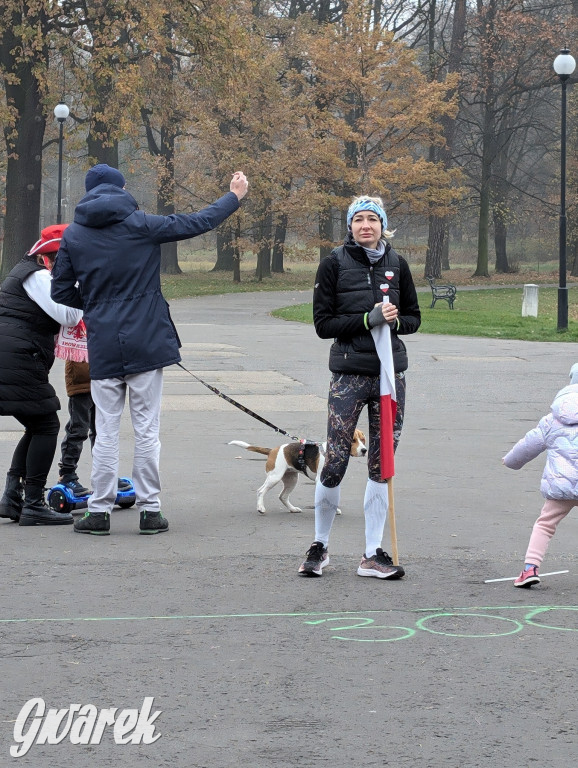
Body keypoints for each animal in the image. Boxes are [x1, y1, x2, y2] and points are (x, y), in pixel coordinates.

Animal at [226, 428, 364, 512]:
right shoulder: (321, 481)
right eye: (353, 440)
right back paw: (260, 507)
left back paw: (292, 509)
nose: (364, 450)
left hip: (291, 480)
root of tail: (272, 450)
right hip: (274, 477)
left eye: (363, 440)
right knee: (260, 491)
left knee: (282, 496)